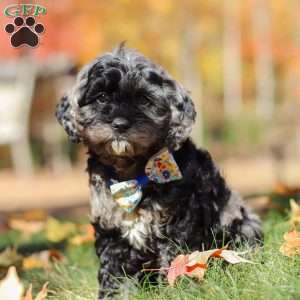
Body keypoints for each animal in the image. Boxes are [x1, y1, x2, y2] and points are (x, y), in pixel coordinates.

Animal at [55, 44, 262, 298]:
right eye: (101, 97)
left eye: (144, 100)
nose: (120, 124)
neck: (132, 175)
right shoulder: (112, 231)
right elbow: (115, 274)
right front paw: (116, 295)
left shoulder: (177, 223)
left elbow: (175, 262)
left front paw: (177, 291)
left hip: (242, 225)